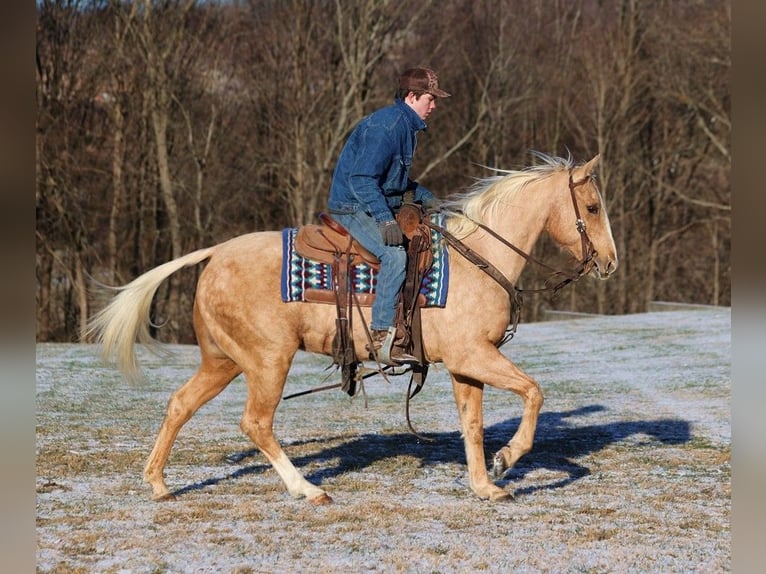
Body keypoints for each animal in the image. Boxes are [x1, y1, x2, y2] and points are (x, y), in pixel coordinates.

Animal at [88, 152, 616, 504]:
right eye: (592, 208)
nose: (609, 262)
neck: (478, 259)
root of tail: (215, 253)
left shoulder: (466, 364)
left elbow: (472, 423)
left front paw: (486, 483)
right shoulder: (474, 356)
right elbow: (533, 392)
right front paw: (507, 460)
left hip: (223, 361)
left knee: (180, 404)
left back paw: (158, 483)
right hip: (268, 360)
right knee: (256, 422)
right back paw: (306, 489)